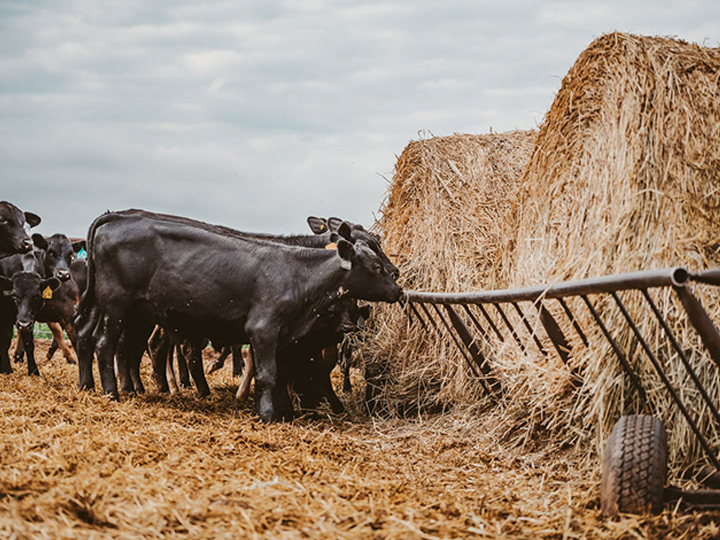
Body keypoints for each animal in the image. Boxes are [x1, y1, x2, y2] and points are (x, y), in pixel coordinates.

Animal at [76, 210, 402, 422]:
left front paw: (288, 410)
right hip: (117, 306)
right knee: (108, 344)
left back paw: (102, 385)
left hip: (116, 309)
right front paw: (271, 413)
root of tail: (116, 217)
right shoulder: (264, 329)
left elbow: (284, 373)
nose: (397, 282)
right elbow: (271, 373)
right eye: (374, 259)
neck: (298, 271)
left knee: (93, 337)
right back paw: (114, 392)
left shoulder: (288, 337)